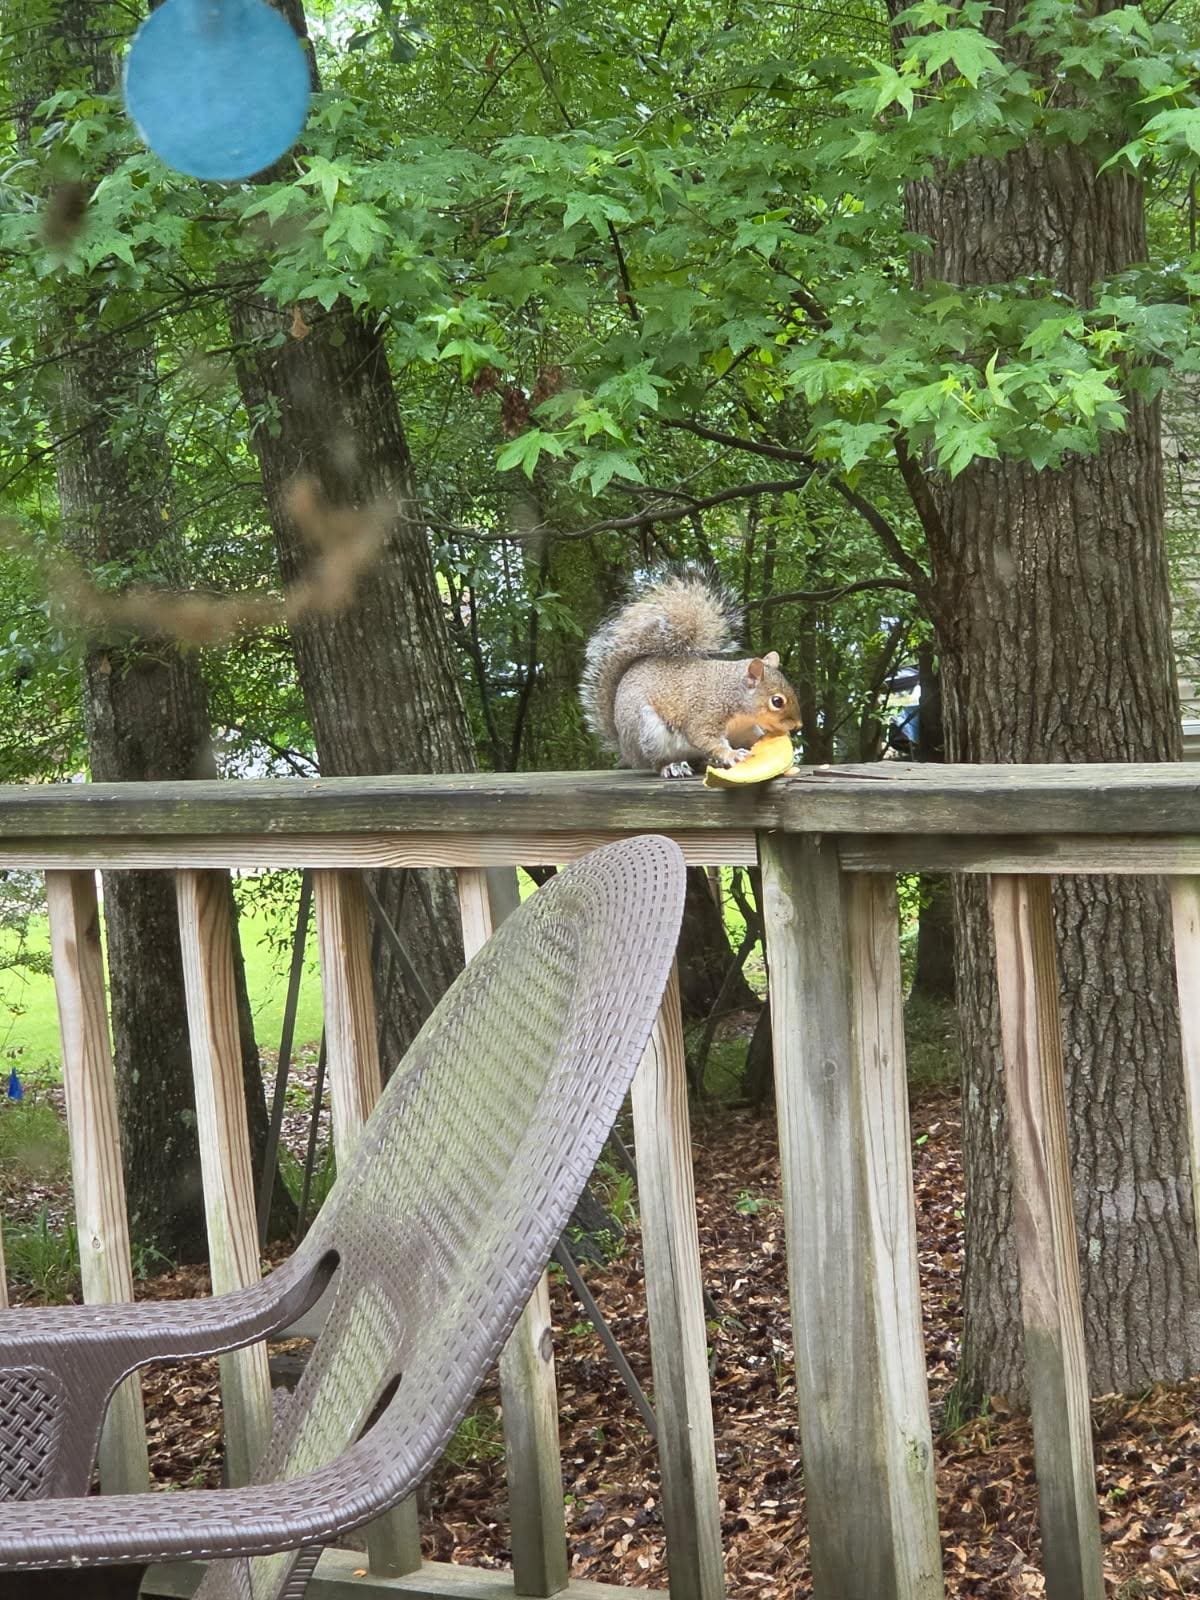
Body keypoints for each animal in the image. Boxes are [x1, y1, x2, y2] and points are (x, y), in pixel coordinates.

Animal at [580, 570, 801, 777]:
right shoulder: (705, 714)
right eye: (777, 701)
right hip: (649, 732)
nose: (797, 727)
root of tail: (626, 748)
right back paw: (672, 767)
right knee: (656, 762)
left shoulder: (744, 729)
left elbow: (751, 737)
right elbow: (704, 737)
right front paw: (732, 754)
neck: (731, 694)